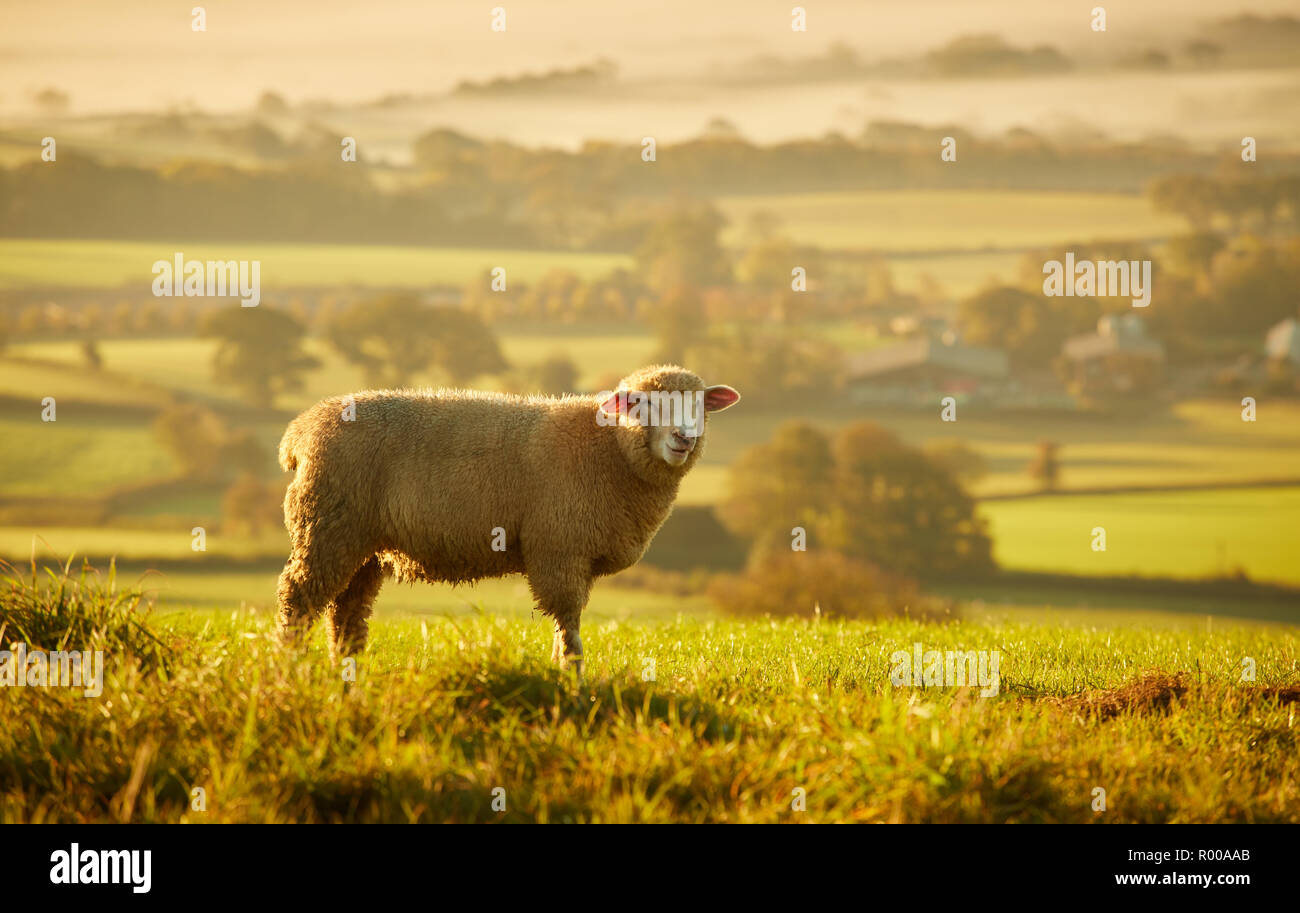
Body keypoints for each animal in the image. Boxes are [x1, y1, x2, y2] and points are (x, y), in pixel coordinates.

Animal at [274, 364, 743, 671]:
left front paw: (558, 672)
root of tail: (300, 432)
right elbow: (568, 622)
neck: (608, 448)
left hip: (361, 542)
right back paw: (289, 666)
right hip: (326, 527)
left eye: (700, 404)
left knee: (346, 612)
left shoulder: (579, 555)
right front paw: (571, 678)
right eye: (641, 403)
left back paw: (346, 672)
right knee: (299, 597)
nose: (684, 438)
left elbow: (567, 622)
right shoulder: (558, 549)